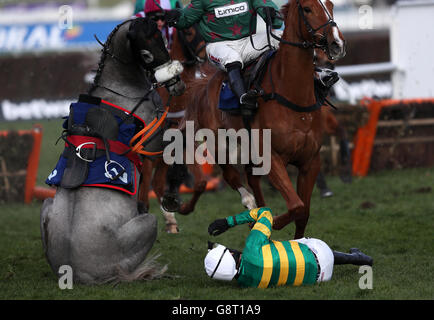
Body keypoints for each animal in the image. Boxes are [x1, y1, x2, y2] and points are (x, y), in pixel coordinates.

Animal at [39, 16, 184, 282]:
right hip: (148, 224)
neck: (120, 88)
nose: (176, 86)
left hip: (45, 206)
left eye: (162, 37)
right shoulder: (154, 142)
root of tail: (76, 272)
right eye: (146, 53)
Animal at [181, 0, 346, 238]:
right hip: (220, 144)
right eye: (307, 9)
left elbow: (303, 211)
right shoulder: (272, 158)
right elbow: (296, 206)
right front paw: (265, 221)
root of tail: (207, 85)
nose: (336, 43)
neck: (293, 95)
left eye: (331, 5)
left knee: (251, 178)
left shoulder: (310, 161)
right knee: (232, 177)